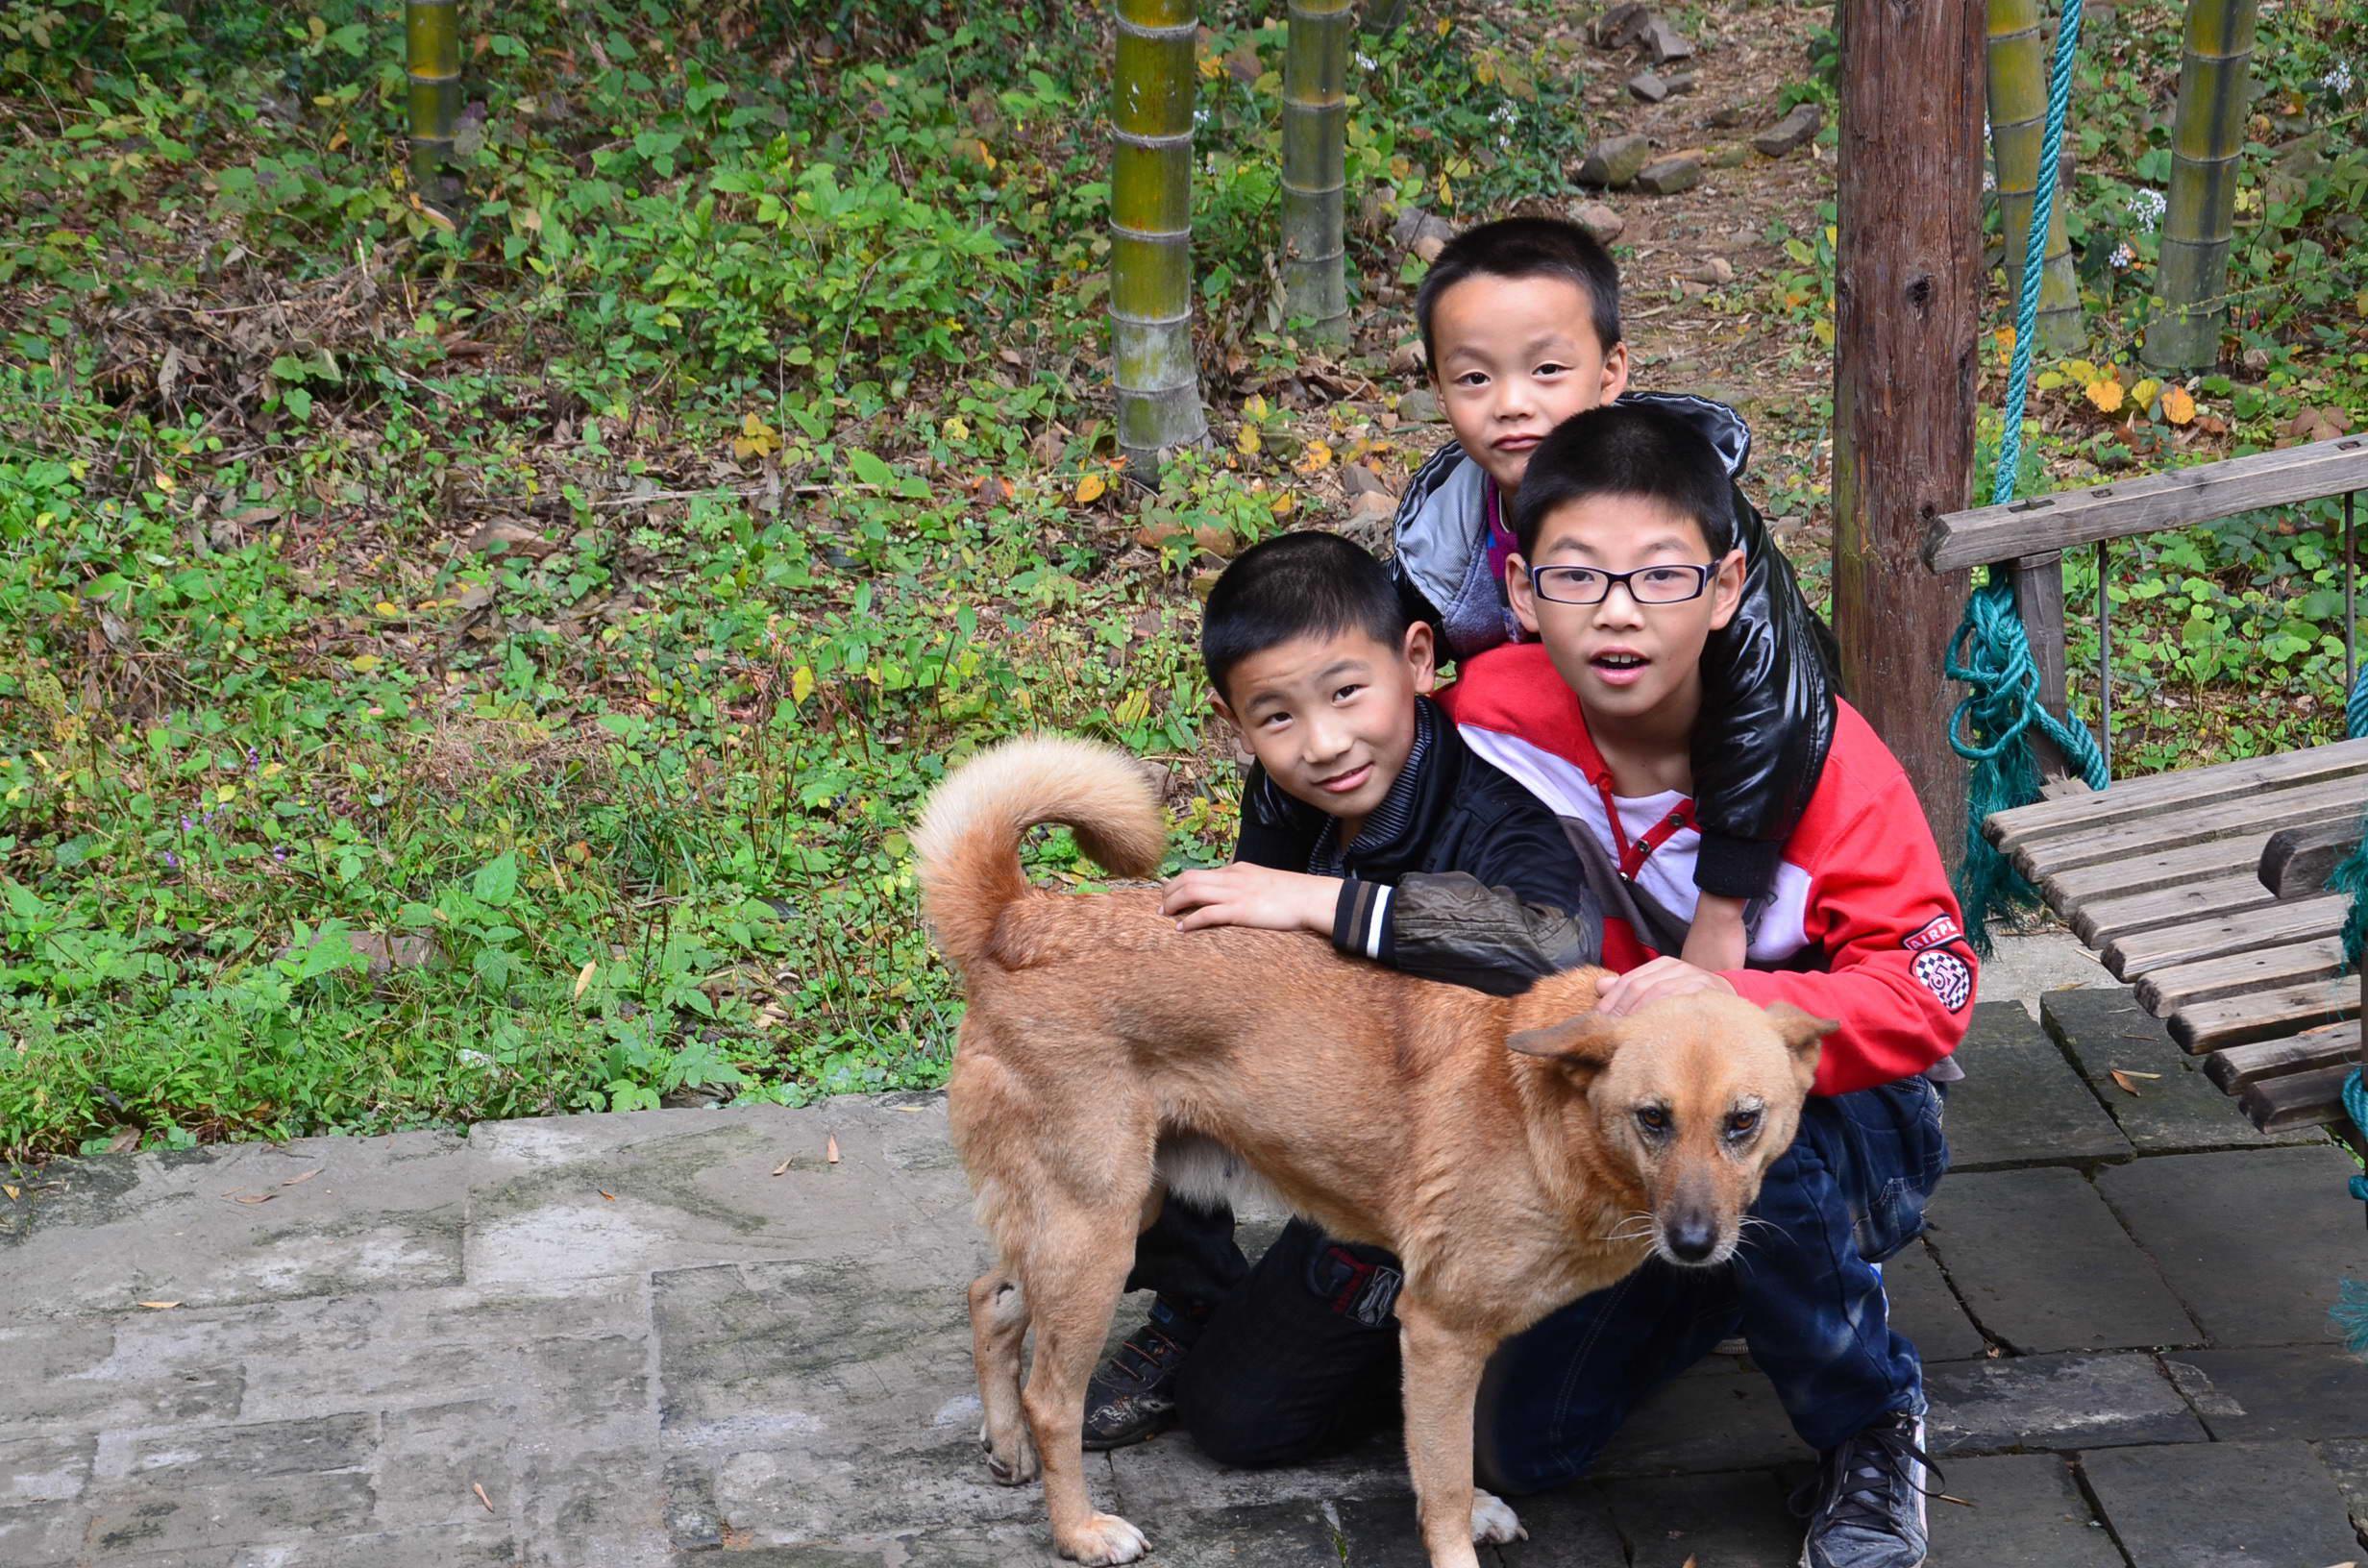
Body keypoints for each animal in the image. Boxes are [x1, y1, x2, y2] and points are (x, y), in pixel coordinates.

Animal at [913, 735, 1831, 1568]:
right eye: (1653, 1119)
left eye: (1743, 1122)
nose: (1696, 1244)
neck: (1554, 1118)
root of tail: (1018, 918)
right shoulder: (1440, 1327)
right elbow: (1446, 1480)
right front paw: (1461, 1533)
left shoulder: (1450, 1333)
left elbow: (1446, 1456)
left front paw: (1478, 1504)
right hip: (1095, 1233)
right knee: (1051, 1397)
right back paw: (1078, 1529)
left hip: (1102, 1217)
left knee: (991, 1296)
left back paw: (1006, 1446)